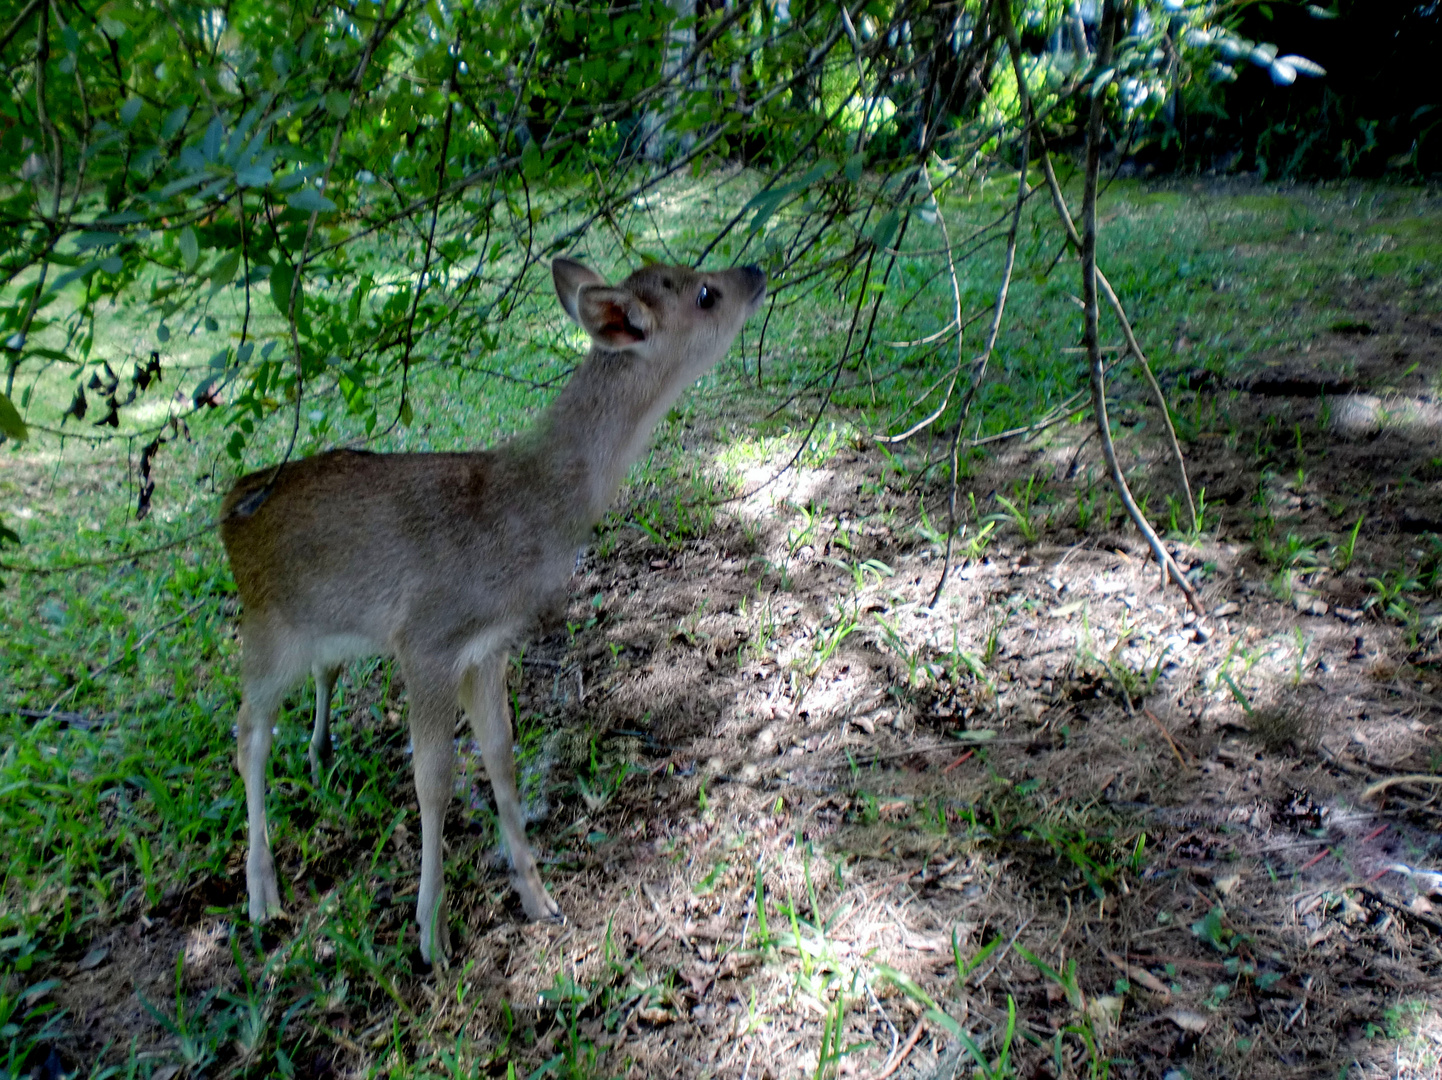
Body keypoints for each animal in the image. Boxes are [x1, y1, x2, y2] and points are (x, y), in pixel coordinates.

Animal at [219, 259, 767, 963]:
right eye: (704, 293)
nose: (754, 270)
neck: (523, 516)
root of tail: (229, 505)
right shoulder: (426, 638)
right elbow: (433, 778)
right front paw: (432, 933)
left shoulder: (487, 646)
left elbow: (502, 757)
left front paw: (539, 898)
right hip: (266, 628)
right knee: (249, 736)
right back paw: (263, 895)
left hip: (325, 629)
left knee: (320, 678)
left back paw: (320, 760)